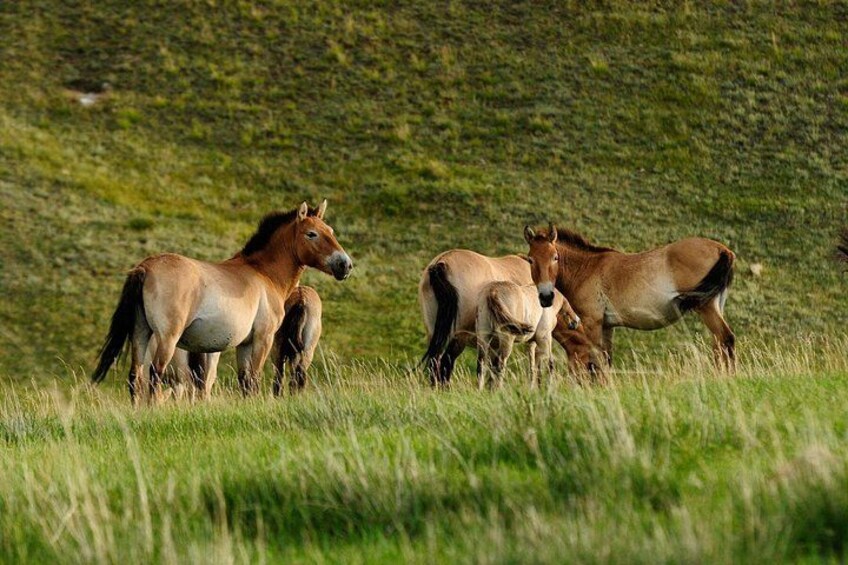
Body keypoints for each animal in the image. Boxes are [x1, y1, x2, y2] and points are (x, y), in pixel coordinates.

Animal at [92, 200, 352, 405]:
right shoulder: (263, 338)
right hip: (167, 339)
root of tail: (145, 267)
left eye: (330, 230)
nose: (345, 264)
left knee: (135, 377)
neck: (263, 273)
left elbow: (245, 383)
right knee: (155, 376)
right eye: (312, 234)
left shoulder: (244, 344)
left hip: (140, 333)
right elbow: (255, 379)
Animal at [418, 249, 593, 387]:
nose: (596, 386)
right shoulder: (532, 338)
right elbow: (534, 364)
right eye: (592, 363)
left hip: (438, 335)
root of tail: (441, 264)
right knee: (445, 365)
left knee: (436, 363)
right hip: (458, 338)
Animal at [523, 224, 736, 371]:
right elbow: (606, 360)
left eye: (555, 257)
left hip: (706, 307)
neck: (587, 269)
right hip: (715, 305)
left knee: (726, 339)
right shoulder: (607, 326)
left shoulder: (593, 322)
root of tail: (723, 250)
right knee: (720, 344)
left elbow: (596, 361)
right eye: (531, 260)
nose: (546, 296)